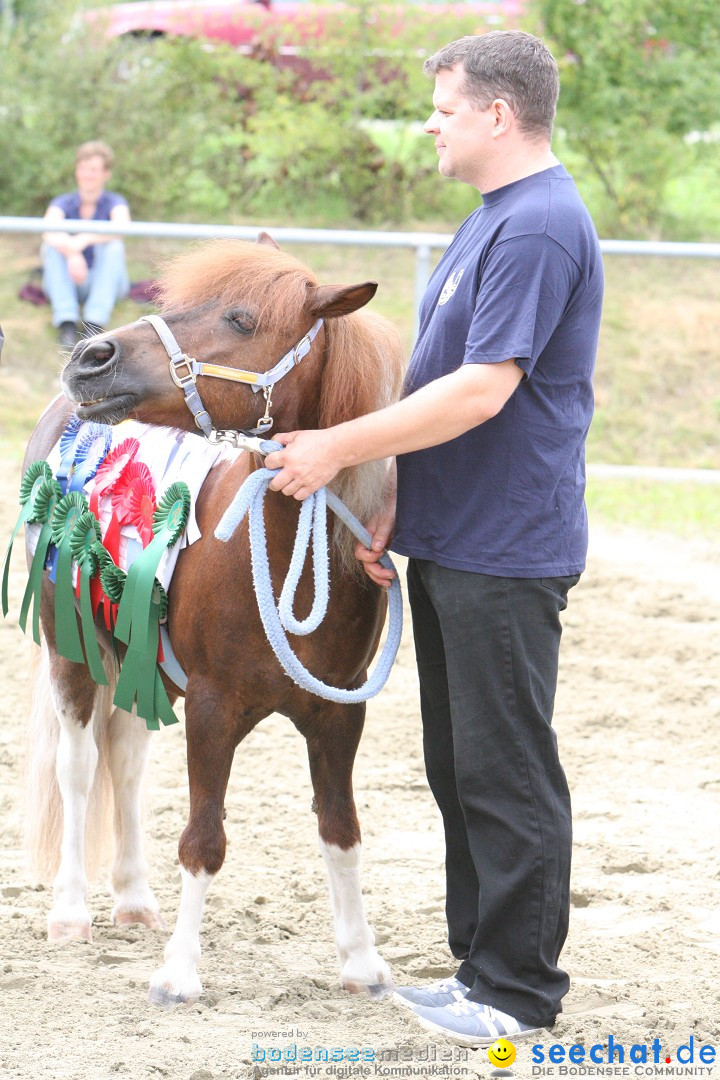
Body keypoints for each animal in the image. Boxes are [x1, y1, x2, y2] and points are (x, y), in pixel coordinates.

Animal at [21, 234, 405, 1002]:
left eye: (240, 318)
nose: (90, 357)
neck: (288, 555)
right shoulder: (212, 707)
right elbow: (203, 838)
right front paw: (179, 971)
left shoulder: (339, 714)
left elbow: (341, 829)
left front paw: (360, 960)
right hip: (71, 653)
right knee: (80, 769)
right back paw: (72, 910)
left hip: (139, 663)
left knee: (125, 762)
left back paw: (134, 899)